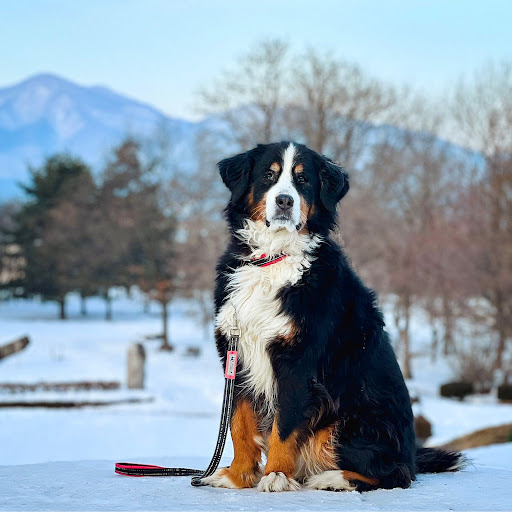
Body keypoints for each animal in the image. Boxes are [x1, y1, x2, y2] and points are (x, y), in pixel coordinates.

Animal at [203, 141, 464, 492]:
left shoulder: (298, 361)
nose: (284, 201)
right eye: (268, 175)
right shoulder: (236, 353)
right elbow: (240, 423)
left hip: (354, 421)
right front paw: (237, 475)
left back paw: (332, 478)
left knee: (396, 474)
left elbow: (284, 425)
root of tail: (411, 455)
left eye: (303, 180)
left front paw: (276, 475)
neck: (273, 259)